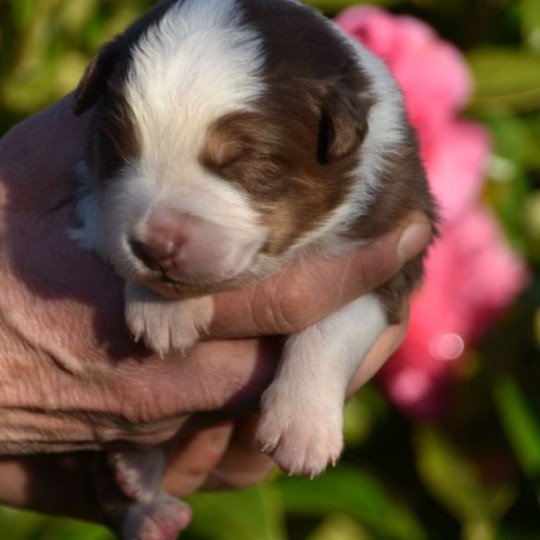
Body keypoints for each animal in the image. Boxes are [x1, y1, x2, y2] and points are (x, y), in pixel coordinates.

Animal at [69, 0, 436, 536]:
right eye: (117, 147)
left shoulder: (390, 248)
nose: (155, 247)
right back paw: (142, 488)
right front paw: (164, 309)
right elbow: (105, 220)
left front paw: (302, 428)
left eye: (247, 164)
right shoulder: (87, 196)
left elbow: (330, 325)